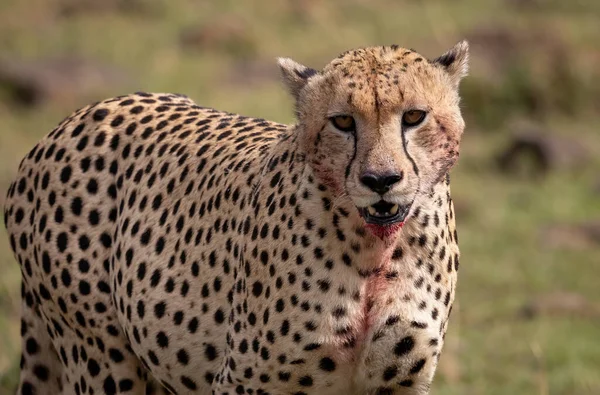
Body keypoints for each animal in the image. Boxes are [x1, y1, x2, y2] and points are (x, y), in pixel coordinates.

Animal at [4, 41, 472, 395]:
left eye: (414, 116)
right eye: (342, 121)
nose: (381, 180)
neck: (375, 251)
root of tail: (77, 117)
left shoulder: (397, 383)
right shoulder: (244, 382)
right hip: (101, 356)